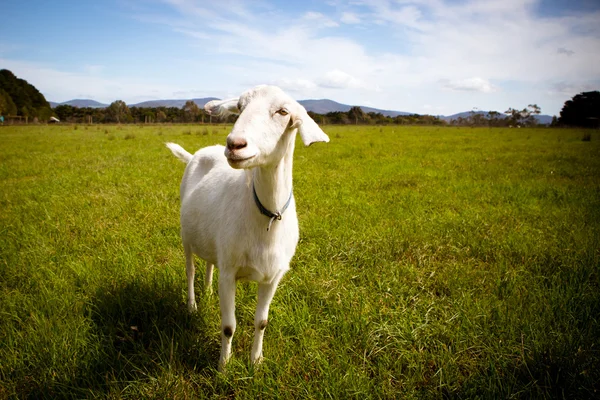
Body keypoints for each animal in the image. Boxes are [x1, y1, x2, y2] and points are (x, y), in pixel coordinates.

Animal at [166, 86, 330, 370]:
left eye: (283, 111)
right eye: (240, 108)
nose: (234, 145)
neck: (266, 218)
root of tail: (197, 153)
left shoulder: (273, 276)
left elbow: (262, 322)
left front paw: (256, 361)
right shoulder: (230, 271)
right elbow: (228, 326)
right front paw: (224, 366)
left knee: (209, 263)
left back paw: (208, 291)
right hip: (186, 237)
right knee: (190, 270)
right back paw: (193, 305)